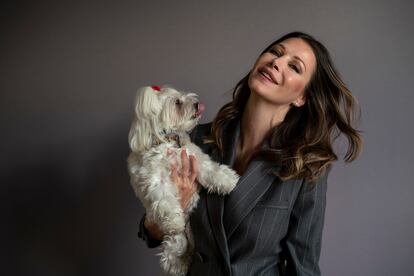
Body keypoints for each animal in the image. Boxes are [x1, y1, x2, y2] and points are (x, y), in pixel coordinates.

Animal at [128, 85, 239, 274]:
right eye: (177, 102)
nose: (197, 104)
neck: (168, 141)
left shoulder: (193, 156)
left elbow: (209, 168)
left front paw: (226, 179)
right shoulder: (155, 183)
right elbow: (165, 202)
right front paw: (174, 221)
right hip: (176, 239)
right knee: (173, 250)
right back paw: (178, 264)